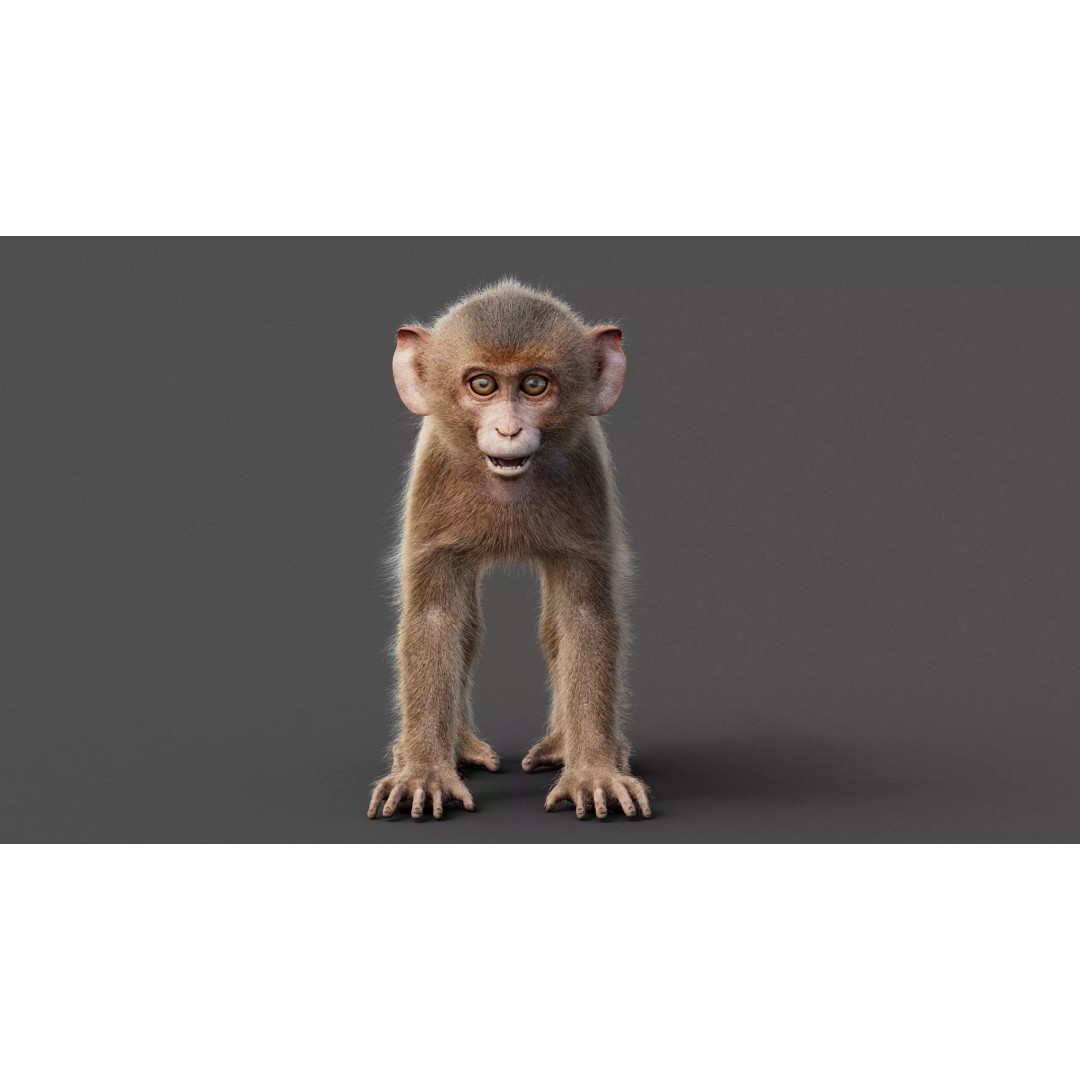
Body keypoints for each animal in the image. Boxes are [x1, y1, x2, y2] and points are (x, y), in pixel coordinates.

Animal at [367, 279, 651, 822]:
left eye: (534, 386)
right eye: (482, 386)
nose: (508, 430)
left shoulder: (583, 476)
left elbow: (581, 617)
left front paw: (594, 772)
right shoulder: (435, 476)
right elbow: (436, 617)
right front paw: (424, 773)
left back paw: (567, 746)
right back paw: (451, 746)